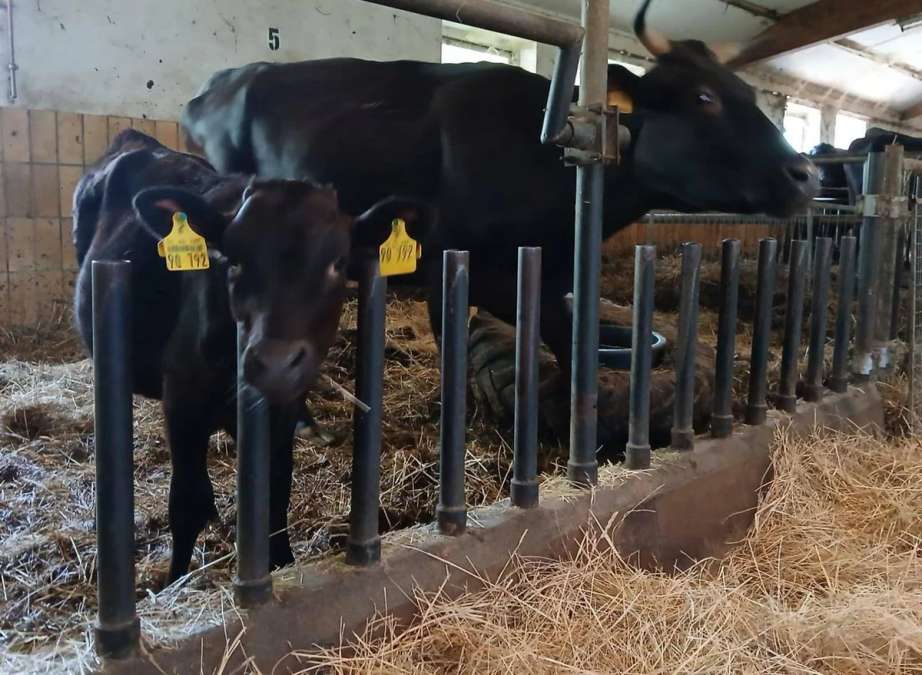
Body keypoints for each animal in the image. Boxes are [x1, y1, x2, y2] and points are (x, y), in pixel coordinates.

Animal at [73, 129, 428, 582]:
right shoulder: (182, 400)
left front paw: (283, 561)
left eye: (338, 262)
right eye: (234, 261)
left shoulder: (283, 408)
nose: (274, 362)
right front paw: (176, 580)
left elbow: (276, 491)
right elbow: (187, 503)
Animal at [181, 0, 818, 403]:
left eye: (748, 93)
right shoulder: (447, 264)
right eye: (705, 98)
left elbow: (569, 345)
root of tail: (222, 80)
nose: (807, 173)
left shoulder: (548, 277)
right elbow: (452, 352)